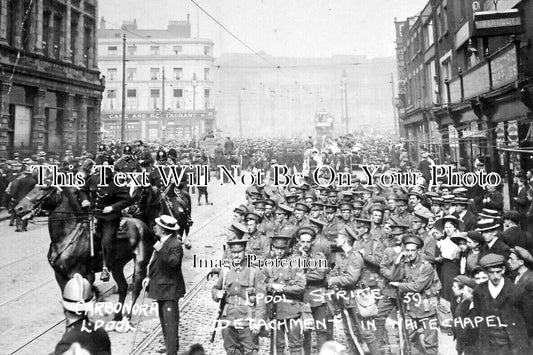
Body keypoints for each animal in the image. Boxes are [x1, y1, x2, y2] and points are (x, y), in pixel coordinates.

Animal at [16, 184, 154, 322]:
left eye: (45, 186)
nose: (19, 208)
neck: (66, 236)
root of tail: (143, 225)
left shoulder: (80, 274)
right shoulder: (60, 276)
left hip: (140, 262)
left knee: (136, 288)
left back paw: (127, 316)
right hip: (117, 265)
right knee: (123, 287)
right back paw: (117, 316)